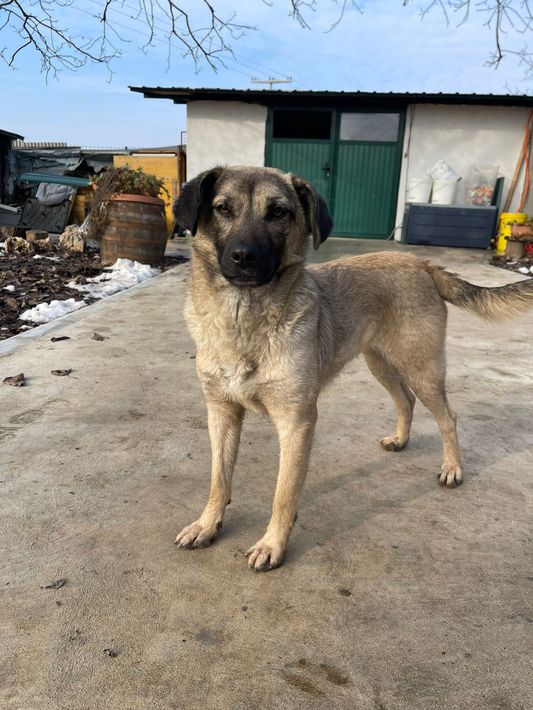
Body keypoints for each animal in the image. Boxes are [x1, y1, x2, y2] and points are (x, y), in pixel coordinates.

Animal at [173, 165, 533, 571]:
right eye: (222, 208)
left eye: (278, 212)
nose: (243, 257)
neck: (244, 318)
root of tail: (420, 264)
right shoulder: (221, 413)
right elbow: (218, 480)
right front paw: (207, 525)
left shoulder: (297, 422)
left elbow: (283, 494)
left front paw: (272, 544)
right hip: (381, 363)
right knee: (405, 400)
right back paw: (401, 439)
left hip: (421, 367)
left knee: (447, 416)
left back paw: (453, 468)